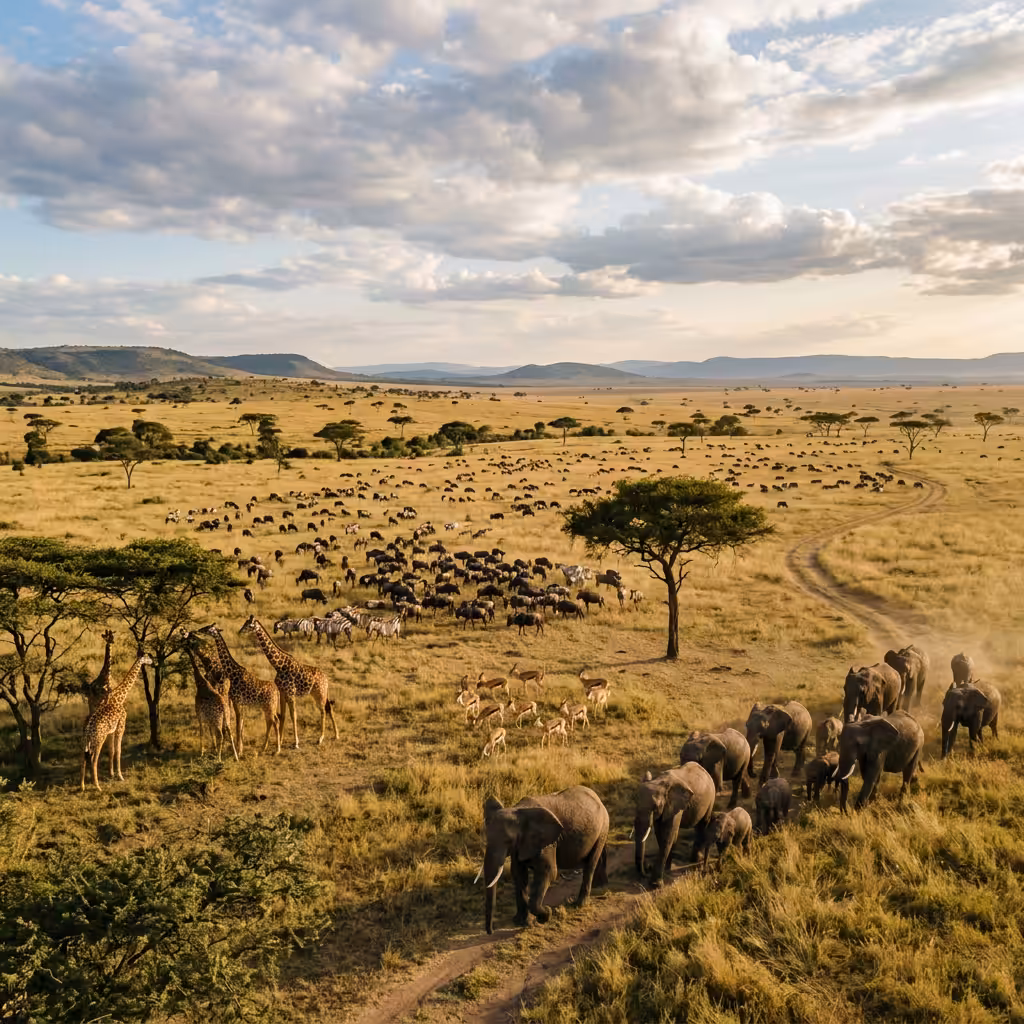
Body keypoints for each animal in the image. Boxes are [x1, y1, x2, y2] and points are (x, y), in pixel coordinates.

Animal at [80, 652, 152, 791]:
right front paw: (120, 776)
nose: (152, 661)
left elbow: (112, 750)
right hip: (98, 739)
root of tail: (88, 730)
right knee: (93, 759)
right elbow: (118, 751)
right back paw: (97, 786)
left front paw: (112, 774)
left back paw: (83, 786)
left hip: (87, 741)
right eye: (147, 656)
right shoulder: (121, 725)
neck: (119, 697)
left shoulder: (112, 730)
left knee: (84, 758)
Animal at [197, 623, 282, 755]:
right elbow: (240, 724)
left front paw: (237, 750)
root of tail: (277, 691)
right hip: (268, 706)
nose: (199, 630)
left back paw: (277, 750)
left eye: (209, 628)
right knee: (271, 721)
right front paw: (239, 749)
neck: (232, 671)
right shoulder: (239, 702)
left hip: (269, 706)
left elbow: (237, 725)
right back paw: (264, 748)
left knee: (275, 722)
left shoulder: (236, 700)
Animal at [237, 615, 337, 749]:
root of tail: (326, 678)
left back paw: (320, 738)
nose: (240, 632)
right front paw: (280, 740)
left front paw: (296, 743)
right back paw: (336, 735)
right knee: (329, 708)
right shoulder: (282, 693)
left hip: (319, 693)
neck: (278, 665)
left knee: (323, 711)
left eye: (249, 625)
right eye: (245, 623)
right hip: (321, 693)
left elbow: (293, 715)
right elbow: (283, 715)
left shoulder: (290, 693)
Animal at [479, 786, 608, 935]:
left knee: (590, 865)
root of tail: (599, 799)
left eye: (508, 841)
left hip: (602, 829)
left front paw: (546, 915)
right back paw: (600, 887)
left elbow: (548, 872)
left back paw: (579, 904)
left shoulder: (548, 844)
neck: (518, 812)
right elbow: (518, 875)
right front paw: (521, 922)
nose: (491, 932)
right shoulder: (520, 846)